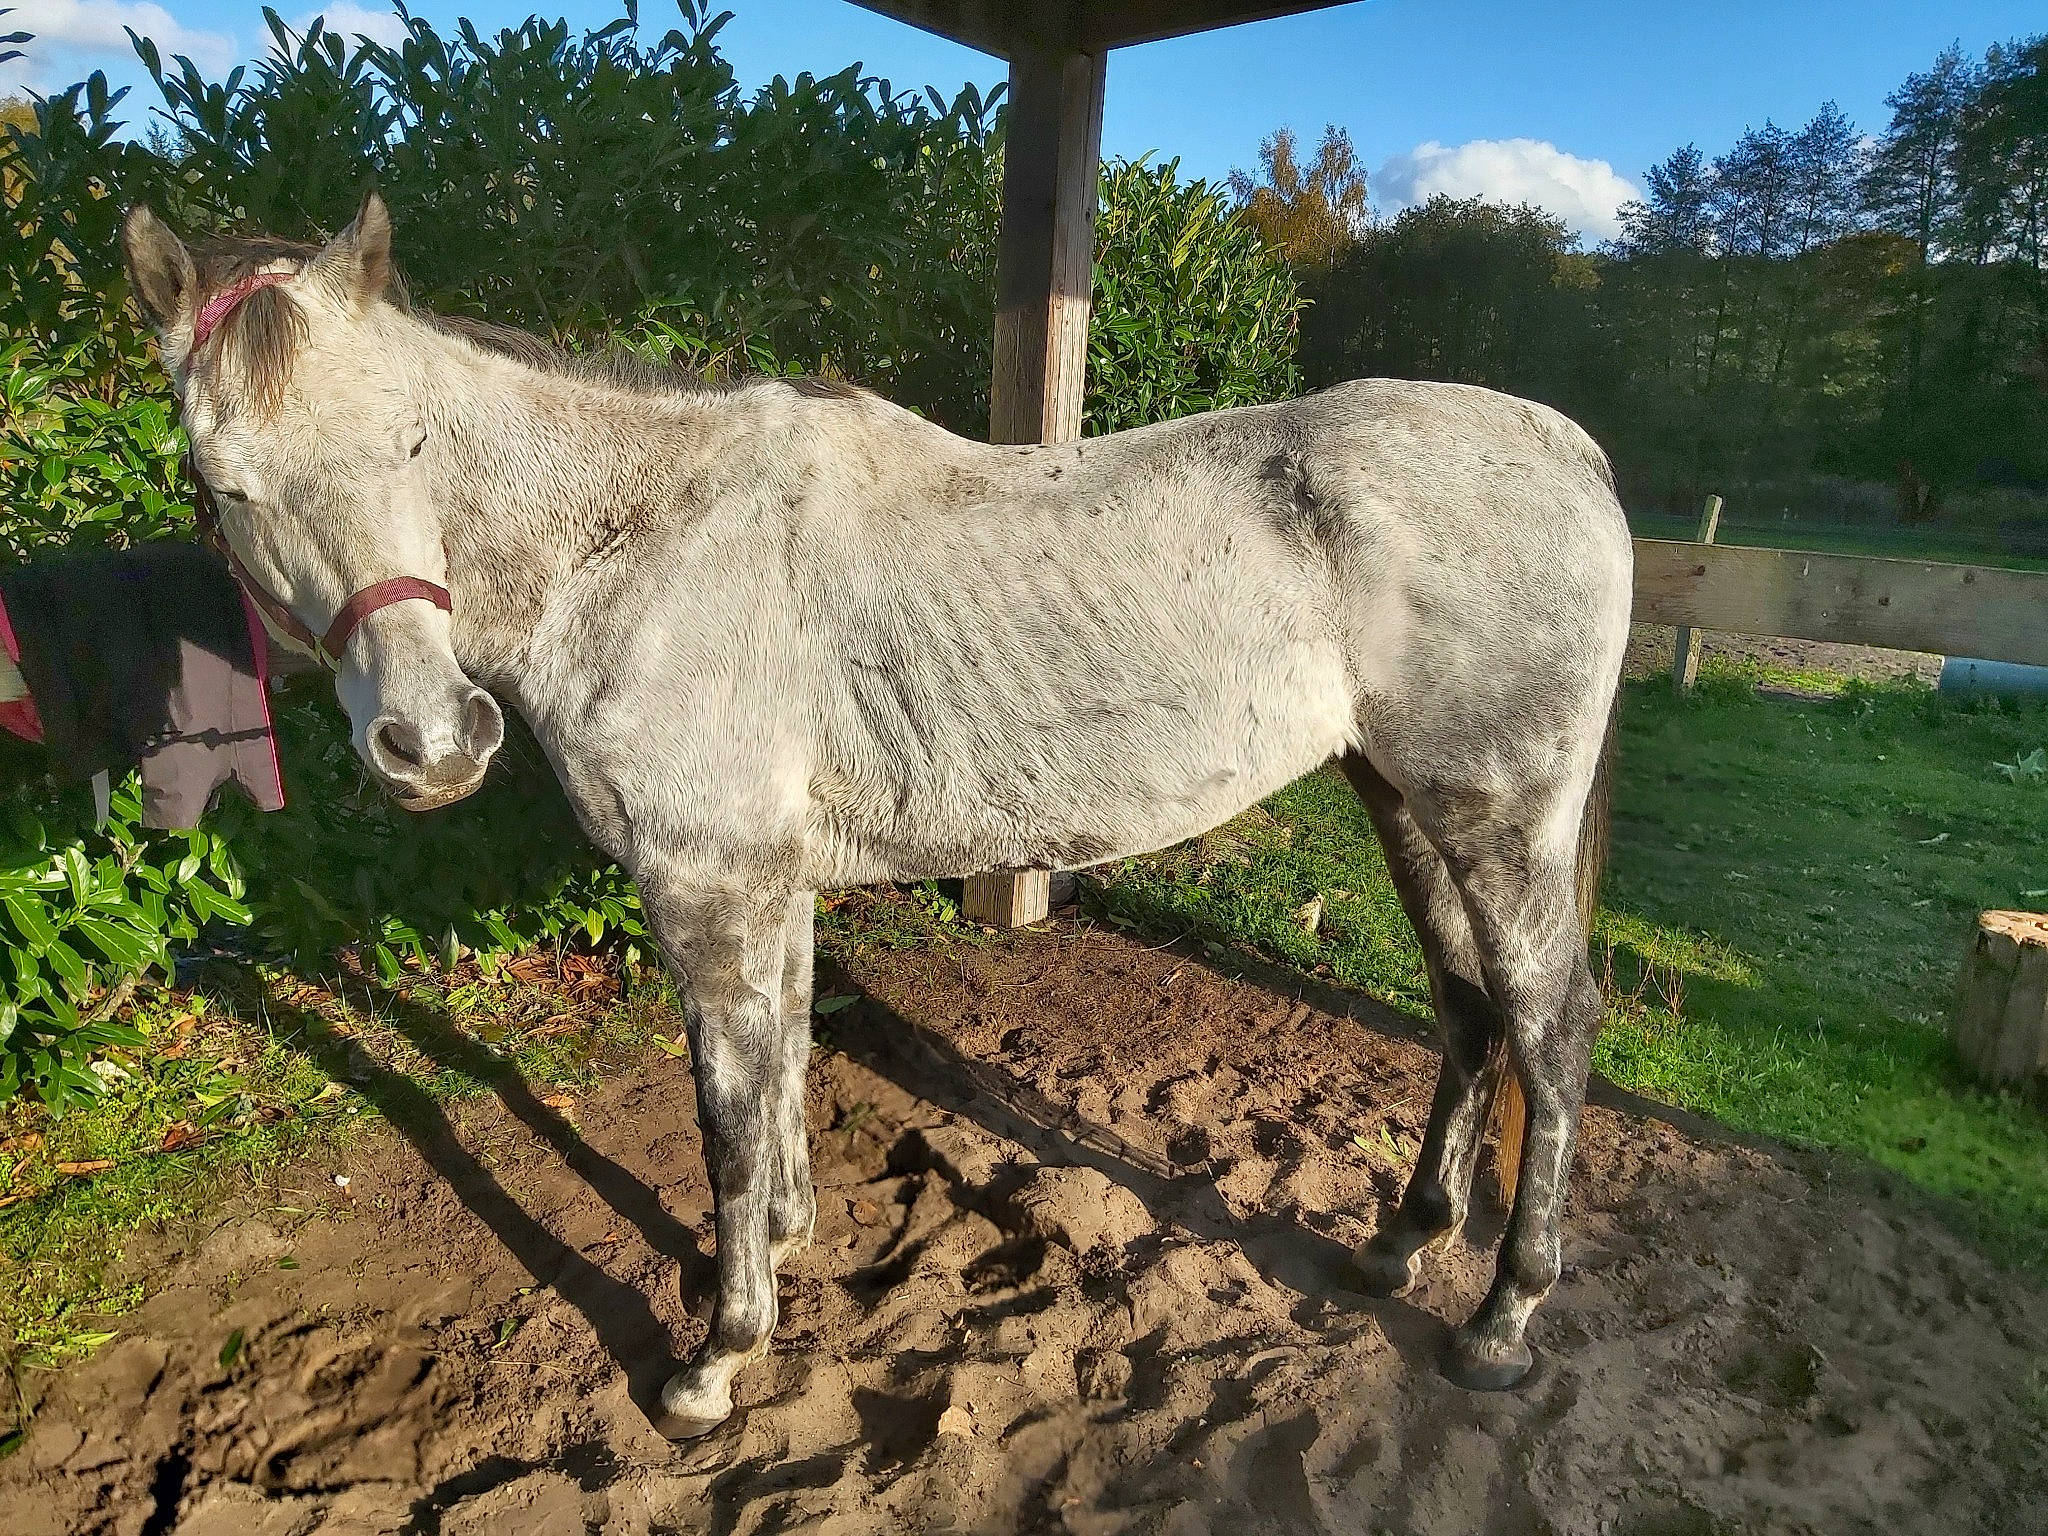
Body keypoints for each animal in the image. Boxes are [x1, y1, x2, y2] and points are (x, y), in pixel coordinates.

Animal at [122, 193, 1631, 1437]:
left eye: (415, 444)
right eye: (225, 484)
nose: (431, 744)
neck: (644, 547)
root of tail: (1572, 449)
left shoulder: (707, 885)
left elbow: (729, 1110)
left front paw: (717, 1358)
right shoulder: (769, 884)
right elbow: (786, 1063)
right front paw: (784, 1249)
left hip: (1497, 817)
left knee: (1550, 1026)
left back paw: (1499, 1322)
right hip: (1405, 803)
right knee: (1468, 1011)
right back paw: (1399, 1244)